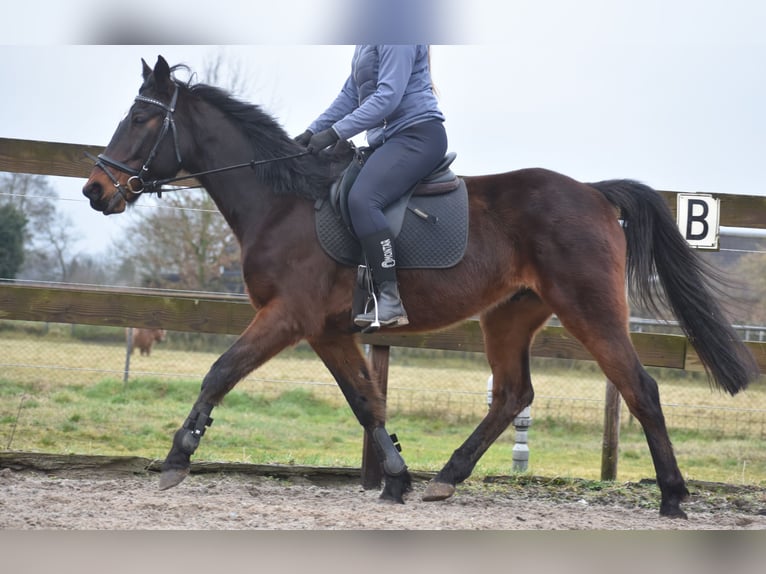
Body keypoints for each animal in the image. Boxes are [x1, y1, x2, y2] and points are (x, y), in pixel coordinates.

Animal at [84, 56, 760, 520]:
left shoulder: (288, 316)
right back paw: (446, 477)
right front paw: (397, 478)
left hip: (590, 310)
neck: (283, 203)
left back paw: (673, 496)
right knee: (512, 394)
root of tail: (594, 193)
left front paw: (177, 458)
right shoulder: (328, 331)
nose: (96, 190)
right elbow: (366, 401)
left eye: (142, 117)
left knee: (639, 387)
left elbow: (220, 371)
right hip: (508, 316)